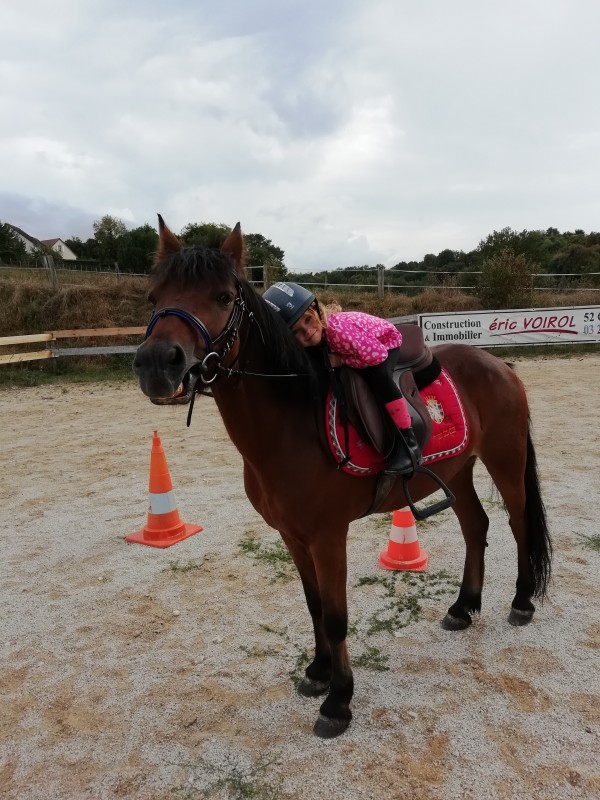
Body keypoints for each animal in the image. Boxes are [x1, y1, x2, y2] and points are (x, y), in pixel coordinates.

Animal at [133, 218, 552, 739]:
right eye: (154, 297)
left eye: (223, 297)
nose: (157, 363)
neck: (292, 421)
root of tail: (499, 363)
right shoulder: (293, 536)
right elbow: (313, 605)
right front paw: (318, 671)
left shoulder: (328, 536)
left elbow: (335, 616)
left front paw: (339, 699)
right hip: (460, 469)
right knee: (477, 527)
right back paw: (462, 607)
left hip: (505, 460)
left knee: (519, 525)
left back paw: (521, 602)